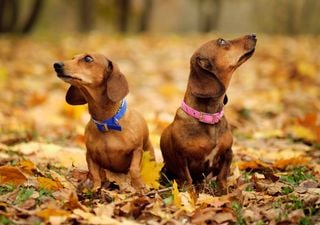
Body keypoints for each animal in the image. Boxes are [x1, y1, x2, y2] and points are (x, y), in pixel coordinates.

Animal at [53, 52, 154, 190]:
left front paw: (139, 187)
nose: (56, 65)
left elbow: (134, 169)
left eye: (88, 58)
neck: (107, 123)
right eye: (73, 58)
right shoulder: (90, 155)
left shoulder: (137, 150)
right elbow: (95, 174)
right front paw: (95, 189)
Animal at [160, 34, 258, 193]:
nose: (253, 35)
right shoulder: (181, 158)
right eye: (221, 41)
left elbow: (222, 177)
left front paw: (224, 192)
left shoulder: (228, 152)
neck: (208, 117)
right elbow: (187, 178)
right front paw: (190, 194)